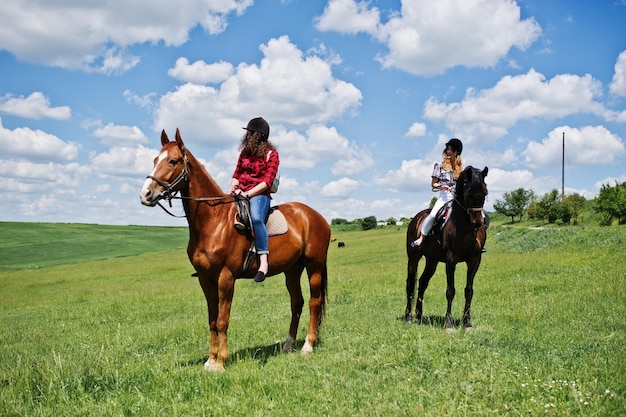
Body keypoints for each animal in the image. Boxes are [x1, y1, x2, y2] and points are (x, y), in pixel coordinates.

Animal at [138, 128, 330, 368]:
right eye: (155, 160)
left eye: (173, 161)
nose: (145, 194)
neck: (214, 221)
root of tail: (316, 216)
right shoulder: (206, 279)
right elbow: (212, 320)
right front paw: (210, 360)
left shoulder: (226, 277)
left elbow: (222, 320)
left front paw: (221, 362)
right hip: (292, 269)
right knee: (297, 302)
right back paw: (288, 345)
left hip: (314, 266)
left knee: (314, 302)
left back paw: (308, 346)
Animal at [404, 166, 488, 332]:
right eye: (468, 191)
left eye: (485, 192)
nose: (477, 222)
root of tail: (416, 218)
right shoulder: (451, 260)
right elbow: (450, 291)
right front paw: (448, 324)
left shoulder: (475, 260)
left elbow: (469, 291)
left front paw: (467, 323)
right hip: (413, 258)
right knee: (410, 284)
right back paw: (408, 317)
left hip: (432, 260)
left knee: (422, 282)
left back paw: (419, 316)